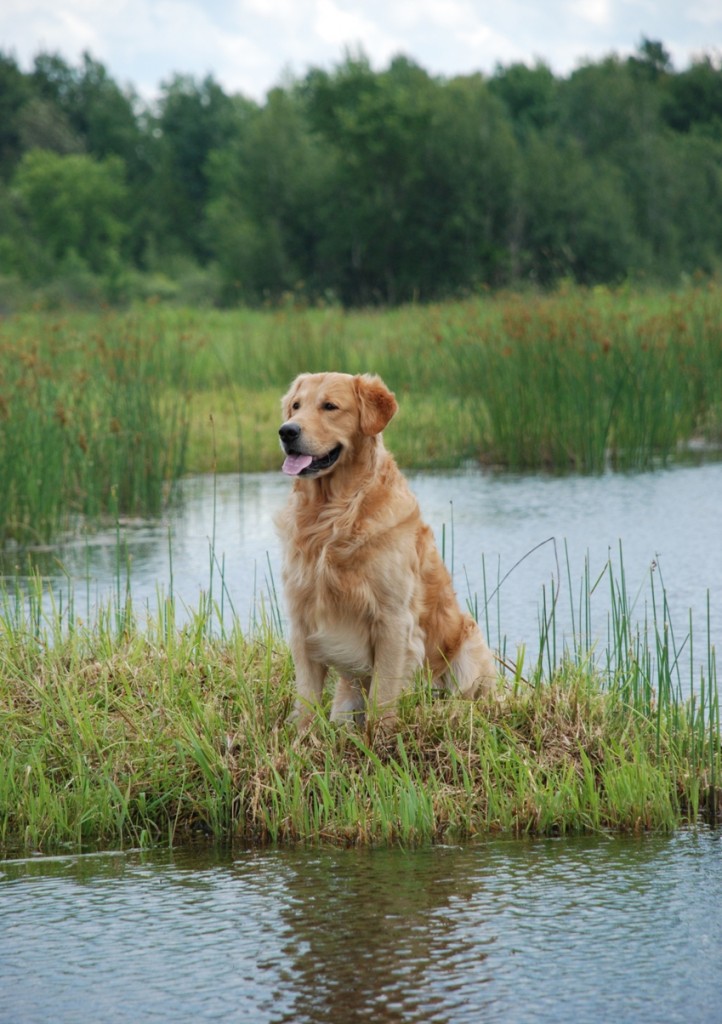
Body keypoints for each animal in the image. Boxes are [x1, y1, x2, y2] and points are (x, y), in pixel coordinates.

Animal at [276, 372, 495, 733]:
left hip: (468, 649)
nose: (287, 431)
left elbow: (383, 692)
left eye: (329, 406)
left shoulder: (394, 618)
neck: (333, 515)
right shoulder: (301, 617)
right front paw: (302, 736)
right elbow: (306, 694)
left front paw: (380, 738)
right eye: (295, 406)